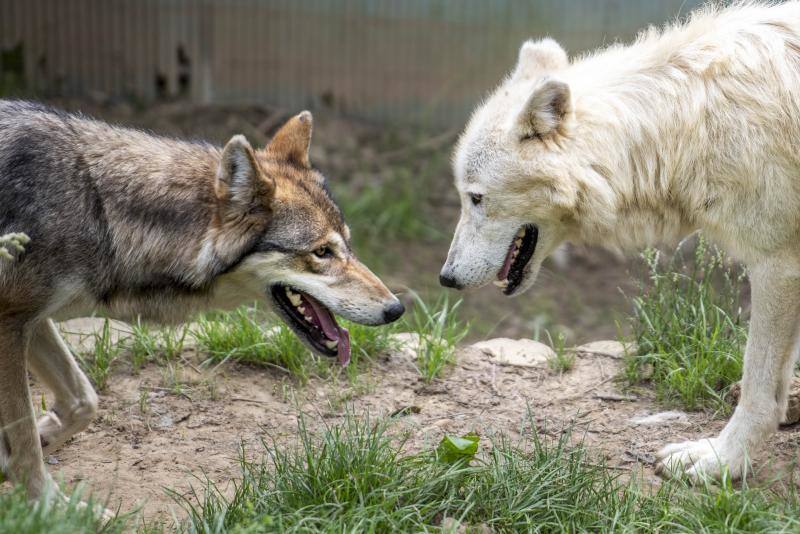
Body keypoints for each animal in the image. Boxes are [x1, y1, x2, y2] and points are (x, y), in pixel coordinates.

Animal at [0, 99, 404, 510]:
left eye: (348, 246)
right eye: (322, 252)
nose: (396, 309)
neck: (97, 208)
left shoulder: (32, 320)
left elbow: (81, 402)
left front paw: (25, 449)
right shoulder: (12, 321)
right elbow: (26, 440)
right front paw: (47, 506)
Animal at [440, 2, 800, 484]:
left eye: (476, 197)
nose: (446, 277)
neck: (692, 124)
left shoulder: (777, 264)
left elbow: (759, 386)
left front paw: (719, 462)